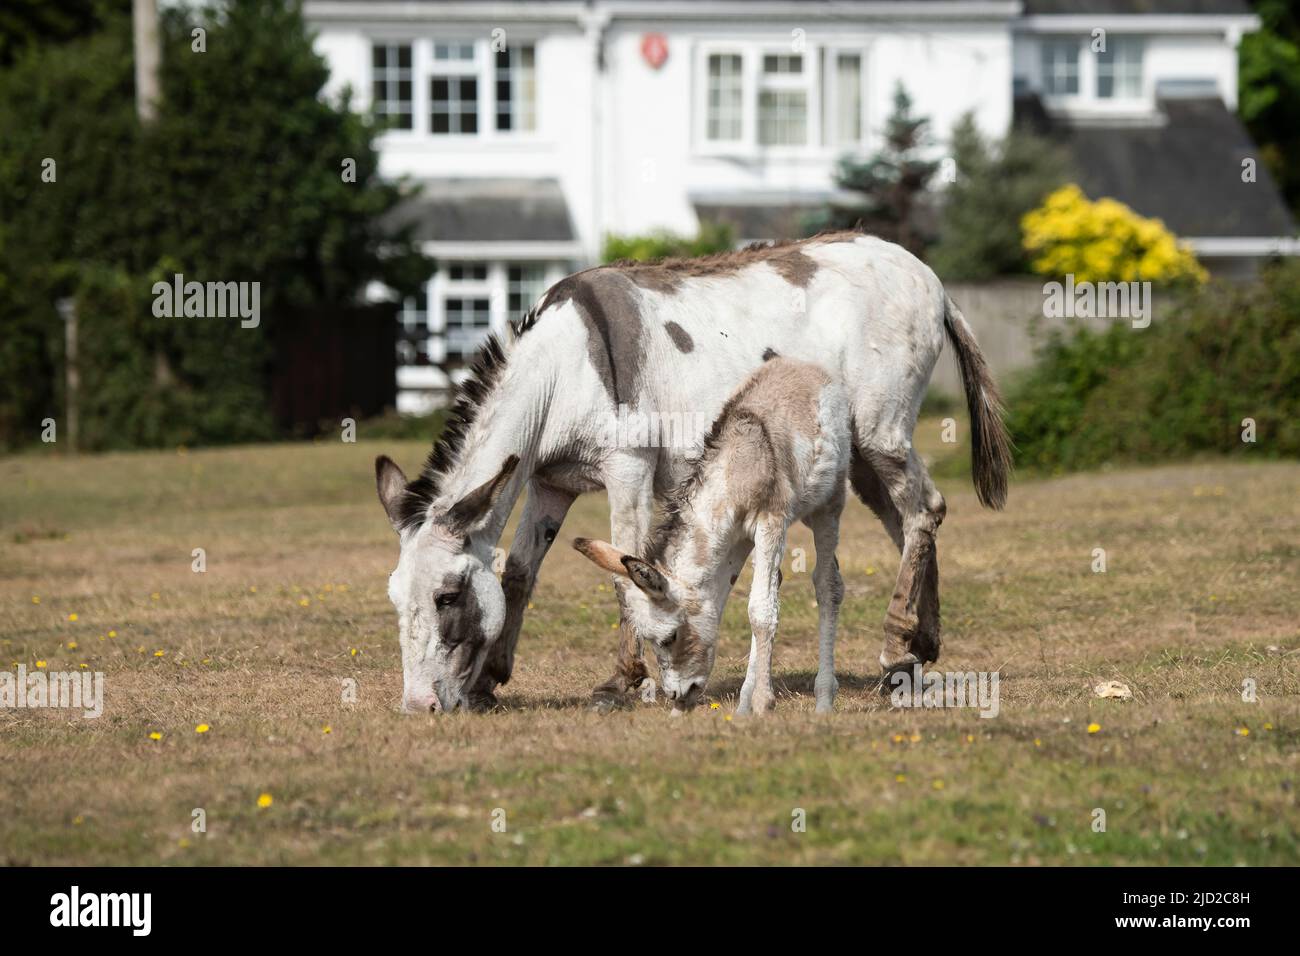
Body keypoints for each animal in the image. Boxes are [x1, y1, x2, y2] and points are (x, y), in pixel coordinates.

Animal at [574, 361, 847, 717]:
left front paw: (763, 703)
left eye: (670, 637)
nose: (676, 696)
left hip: (828, 506)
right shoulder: (735, 540)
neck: (736, 471)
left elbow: (761, 611)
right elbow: (751, 602)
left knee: (828, 586)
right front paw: (745, 705)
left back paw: (824, 701)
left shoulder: (771, 522)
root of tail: (803, 366)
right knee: (777, 582)